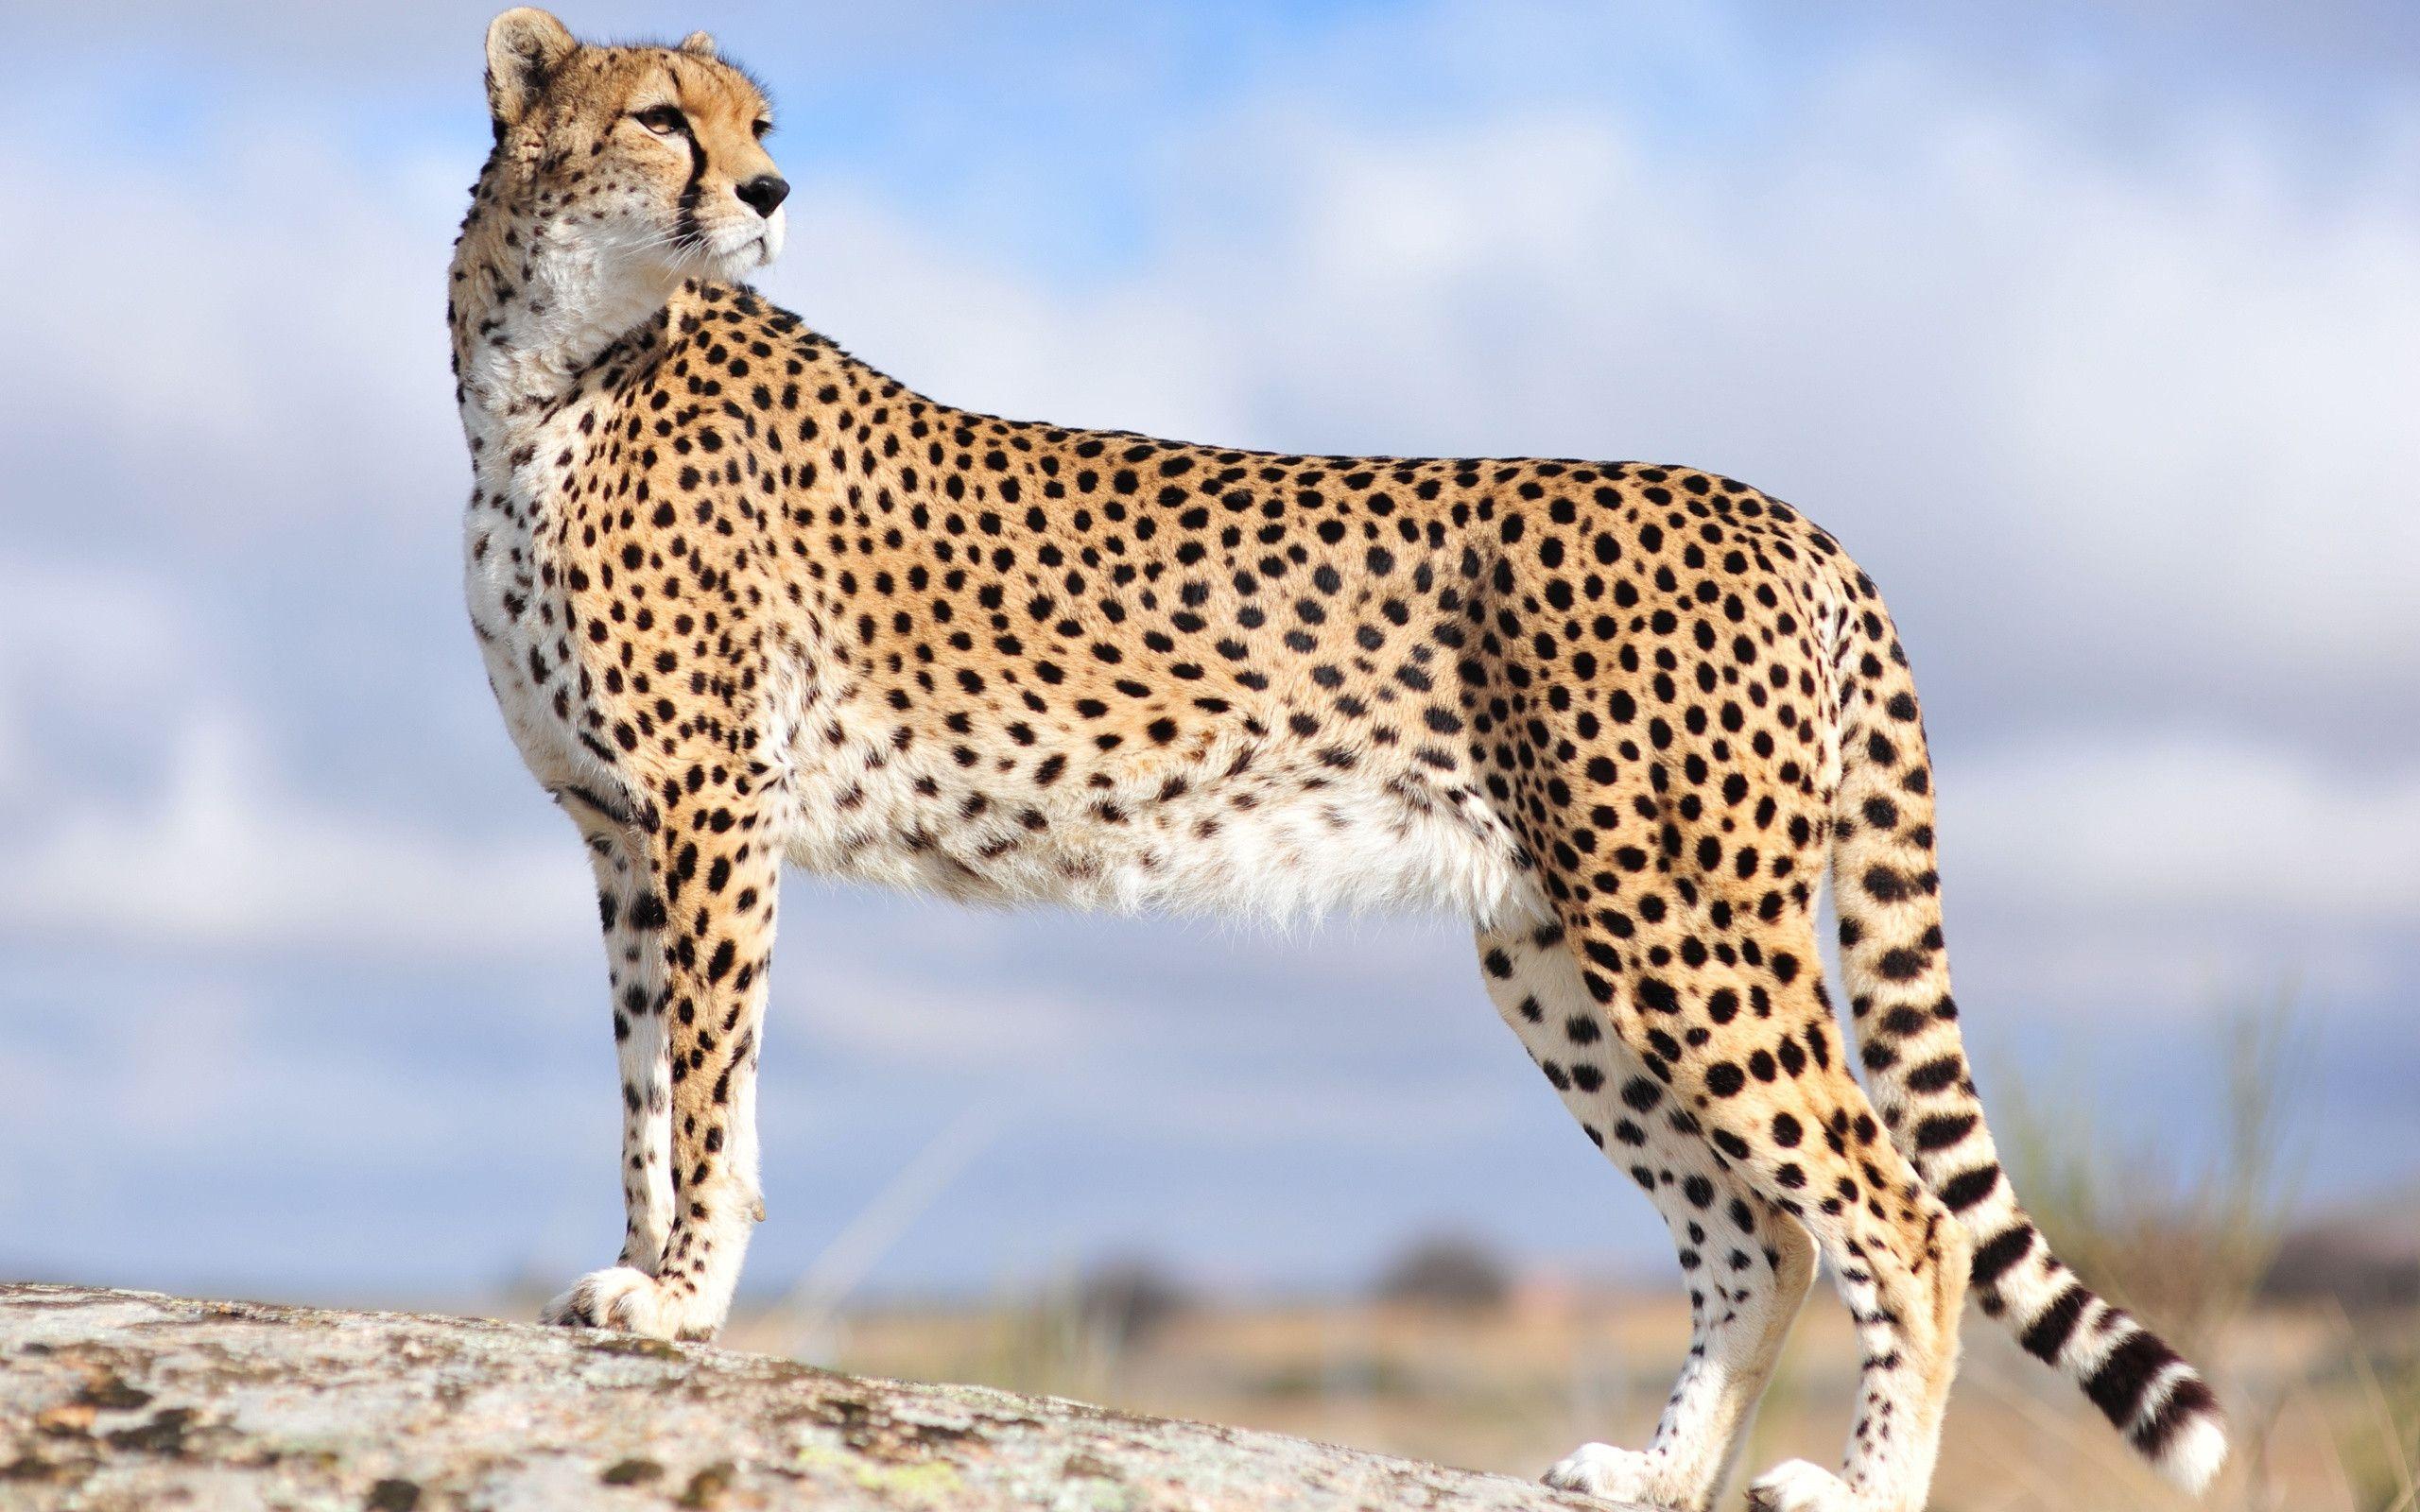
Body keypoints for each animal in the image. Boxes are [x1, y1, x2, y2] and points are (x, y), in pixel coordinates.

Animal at [445, 11, 2229, 1510]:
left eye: (758, 124)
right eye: (664, 116)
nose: (768, 189)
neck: (546, 369)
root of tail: (1779, 510)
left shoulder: (709, 812)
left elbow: (704, 1081)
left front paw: (683, 1302)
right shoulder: (624, 831)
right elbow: (651, 1085)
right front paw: (640, 1281)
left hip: (1680, 920)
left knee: (1899, 1214)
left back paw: (1855, 1489)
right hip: (1554, 950)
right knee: (1756, 1233)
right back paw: (1655, 1475)